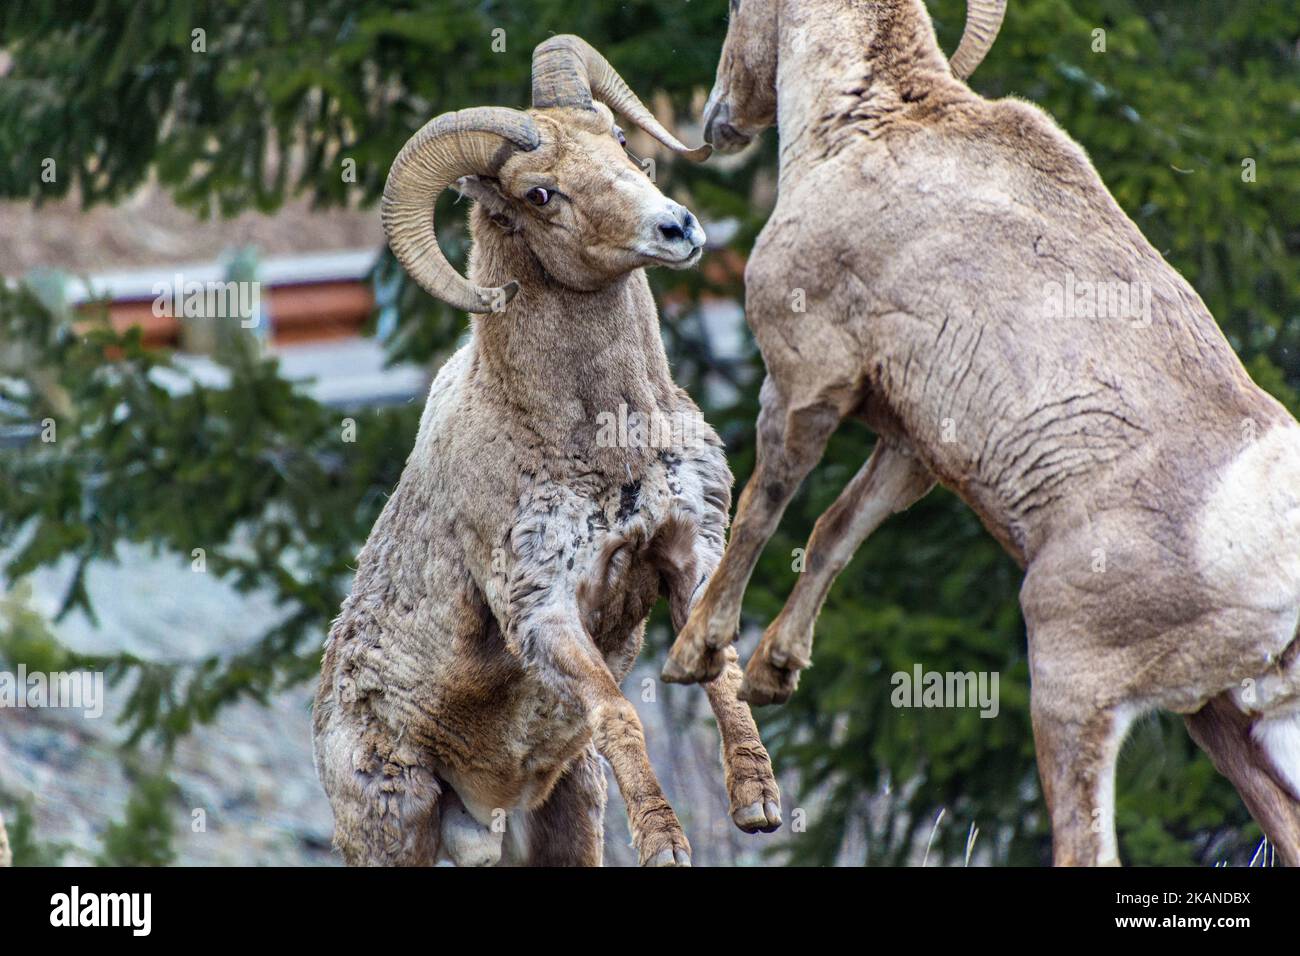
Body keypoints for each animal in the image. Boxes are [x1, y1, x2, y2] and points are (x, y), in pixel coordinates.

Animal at [313, 35, 781, 866]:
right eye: (540, 195)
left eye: (619, 140)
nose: (677, 228)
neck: (613, 447)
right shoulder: (546, 611)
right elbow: (619, 711)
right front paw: (666, 845)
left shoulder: (690, 551)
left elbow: (720, 668)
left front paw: (759, 804)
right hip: (395, 825)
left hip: (563, 808)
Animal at [662, 0, 1300, 866]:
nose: (716, 118)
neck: (860, 124)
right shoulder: (911, 446)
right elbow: (835, 530)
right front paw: (775, 672)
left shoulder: (805, 383)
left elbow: (763, 510)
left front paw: (694, 653)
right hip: (1232, 723)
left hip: (1075, 689)